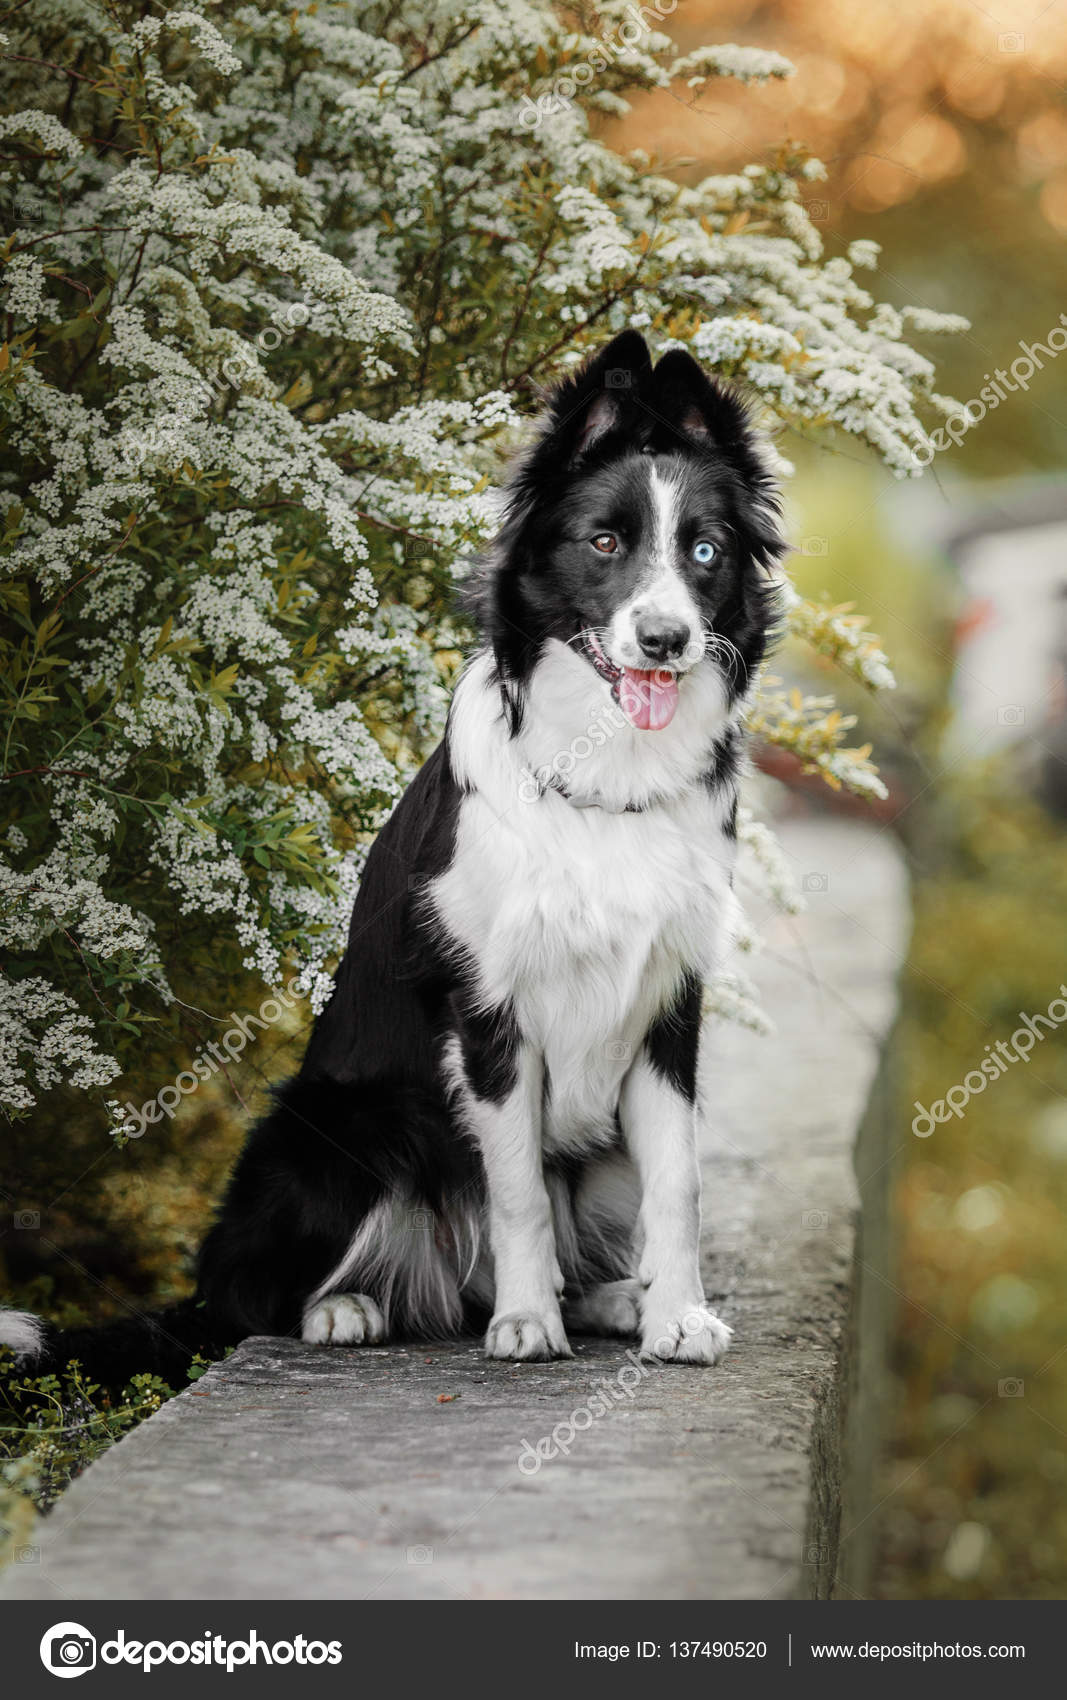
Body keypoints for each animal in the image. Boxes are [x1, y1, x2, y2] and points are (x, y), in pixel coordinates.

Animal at [0, 331, 784, 1380]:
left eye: (704, 551)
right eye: (604, 544)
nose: (664, 640)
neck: (604, 774)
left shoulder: (667, 1006)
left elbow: (678, 1184)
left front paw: (676, 1318)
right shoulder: (487, 1015)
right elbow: (516, 1190)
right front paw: (527, 1324)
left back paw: (608, 1298)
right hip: (337, 1127)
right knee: (252, 1297)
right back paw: (355, 1308)